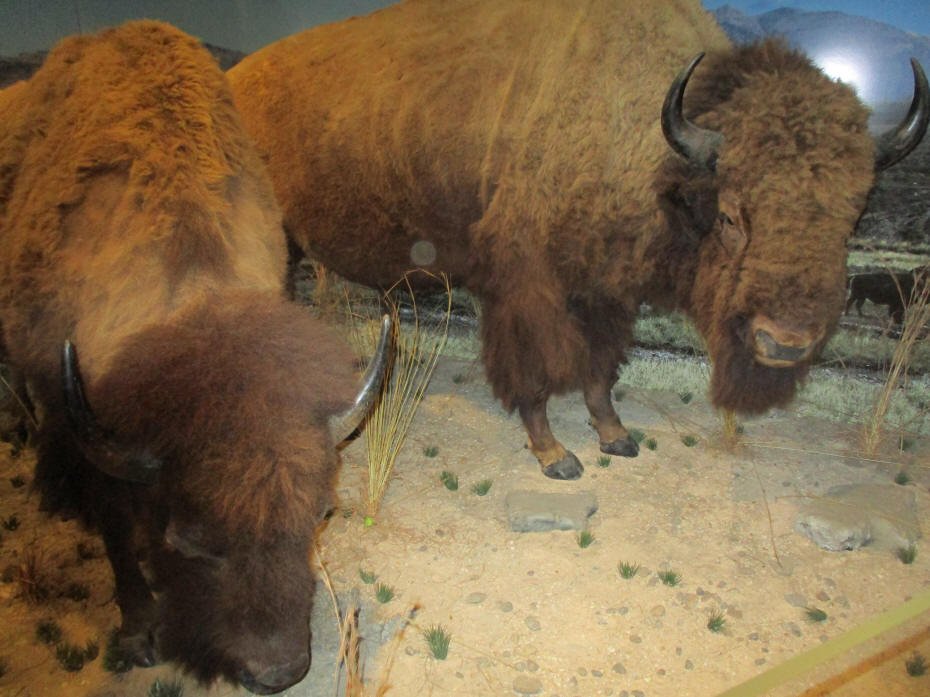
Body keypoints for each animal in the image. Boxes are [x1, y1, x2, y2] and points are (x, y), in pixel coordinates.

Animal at [0, 21, 389, 694]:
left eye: (321, 514)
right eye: (189, 543)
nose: (277, 671)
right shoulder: (93, 420)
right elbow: (115, 529)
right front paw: (138, 634)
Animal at [229, 0, 930, 479]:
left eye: (851, 215)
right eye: (732, 215)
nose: (785, 344)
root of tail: (237, 77)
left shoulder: (606, 291)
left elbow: (599, 370)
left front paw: (616, 436)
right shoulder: (526, 290)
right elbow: (538, 374)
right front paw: (555, 455)